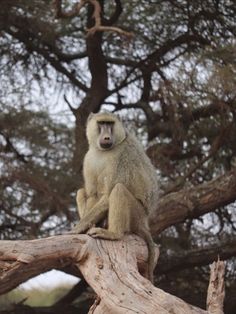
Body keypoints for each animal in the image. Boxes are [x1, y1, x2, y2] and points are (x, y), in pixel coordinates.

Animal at [70, 111, 159, 282]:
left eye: (110, 124)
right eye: (101, 123)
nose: (106, 137)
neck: (103, 151)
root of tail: (144, 223)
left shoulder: (122, 156)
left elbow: (107, 195)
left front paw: (77, 228)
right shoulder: (89, 158)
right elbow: (92, 194)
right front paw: (85, 226)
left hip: (136, 215)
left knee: (119, 190)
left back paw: (113, 234)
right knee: (81, 192)